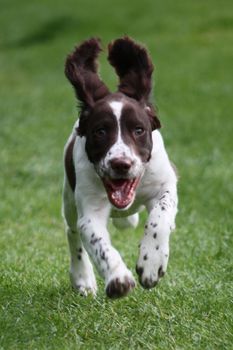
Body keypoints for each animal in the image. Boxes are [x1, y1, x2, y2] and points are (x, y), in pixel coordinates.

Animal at [62, 37, 178, 298]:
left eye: (139, 130)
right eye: (100, 131)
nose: (121, 164)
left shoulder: (166, 183)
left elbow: (160, 216)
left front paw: (151, 263)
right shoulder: (90, 211)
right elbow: (97, 241)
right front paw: (118, 278)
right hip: (69, 199)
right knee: (72, 232)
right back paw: (82, 278)